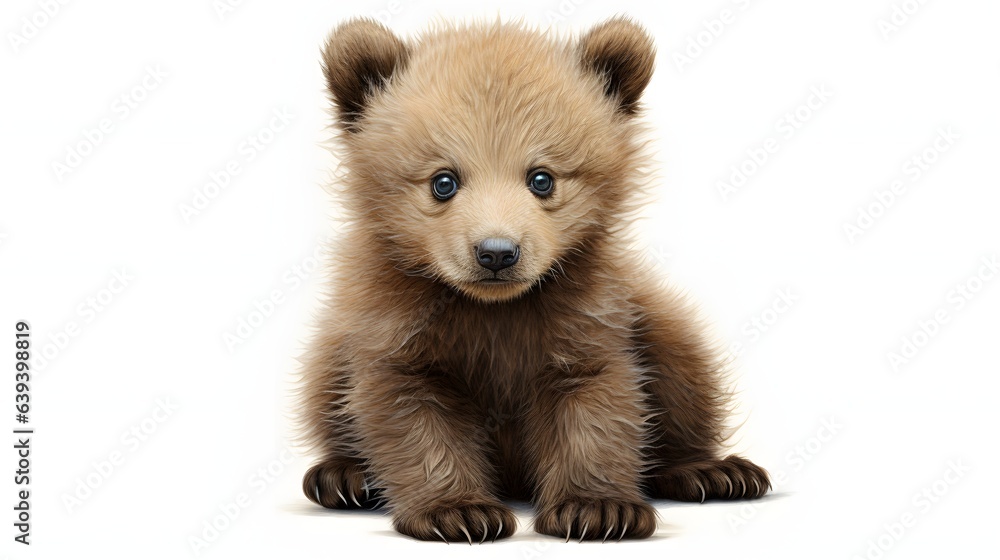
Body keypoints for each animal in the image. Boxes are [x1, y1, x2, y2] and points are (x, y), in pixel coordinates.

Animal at [298, 16, 770, 542]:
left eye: (541, 178)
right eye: (443, 181)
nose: (496, 253)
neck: (494, 306)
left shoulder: (586, 312)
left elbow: (596, 399)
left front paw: (598, 507)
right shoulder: (395, 320)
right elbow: (410, 409)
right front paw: (457, 511)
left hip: (655, 317)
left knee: (682, 365)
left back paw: (712, 470)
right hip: (333, 342)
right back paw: (343, 475)